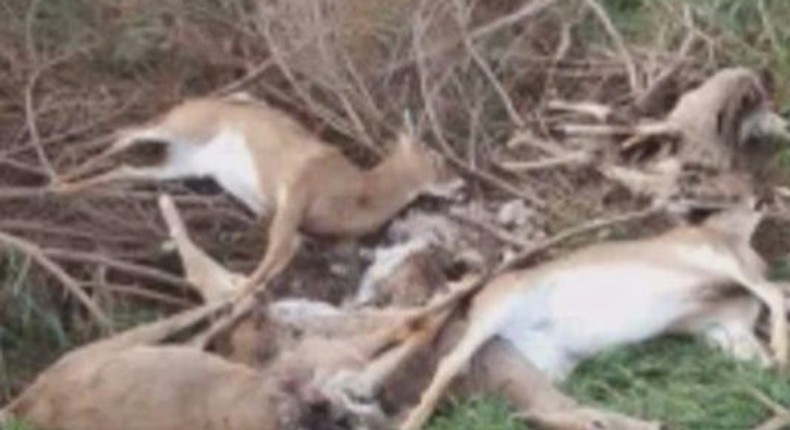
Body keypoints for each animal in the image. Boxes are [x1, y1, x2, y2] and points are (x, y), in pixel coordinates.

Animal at [54, 97, 458, 292]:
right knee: (126, 132)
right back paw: (58, 175)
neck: (361, 193)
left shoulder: (290, 217)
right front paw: (236, 292)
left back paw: (64, 186)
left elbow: (286, 252)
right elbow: (275, 252)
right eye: (435, 157)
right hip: (184, 126)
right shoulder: (296, 187)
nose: (459, 184)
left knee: (127, 167)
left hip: (183, 164)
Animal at [406, 202, 788, 430]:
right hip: (504, 317)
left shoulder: (727, 320)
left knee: (557, 412)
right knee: (451, 366)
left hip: (543, 370)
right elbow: (774, 293)